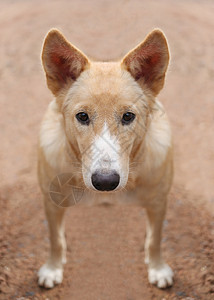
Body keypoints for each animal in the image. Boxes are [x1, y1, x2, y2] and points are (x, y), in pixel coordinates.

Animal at [37, 29, 174, 290]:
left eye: (128, 116)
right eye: (82, 116)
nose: (105, 182)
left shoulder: (159, 202)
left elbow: (155, 240)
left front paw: (158, 269)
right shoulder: (52, 202)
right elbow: (54, 239)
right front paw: (52, 269)